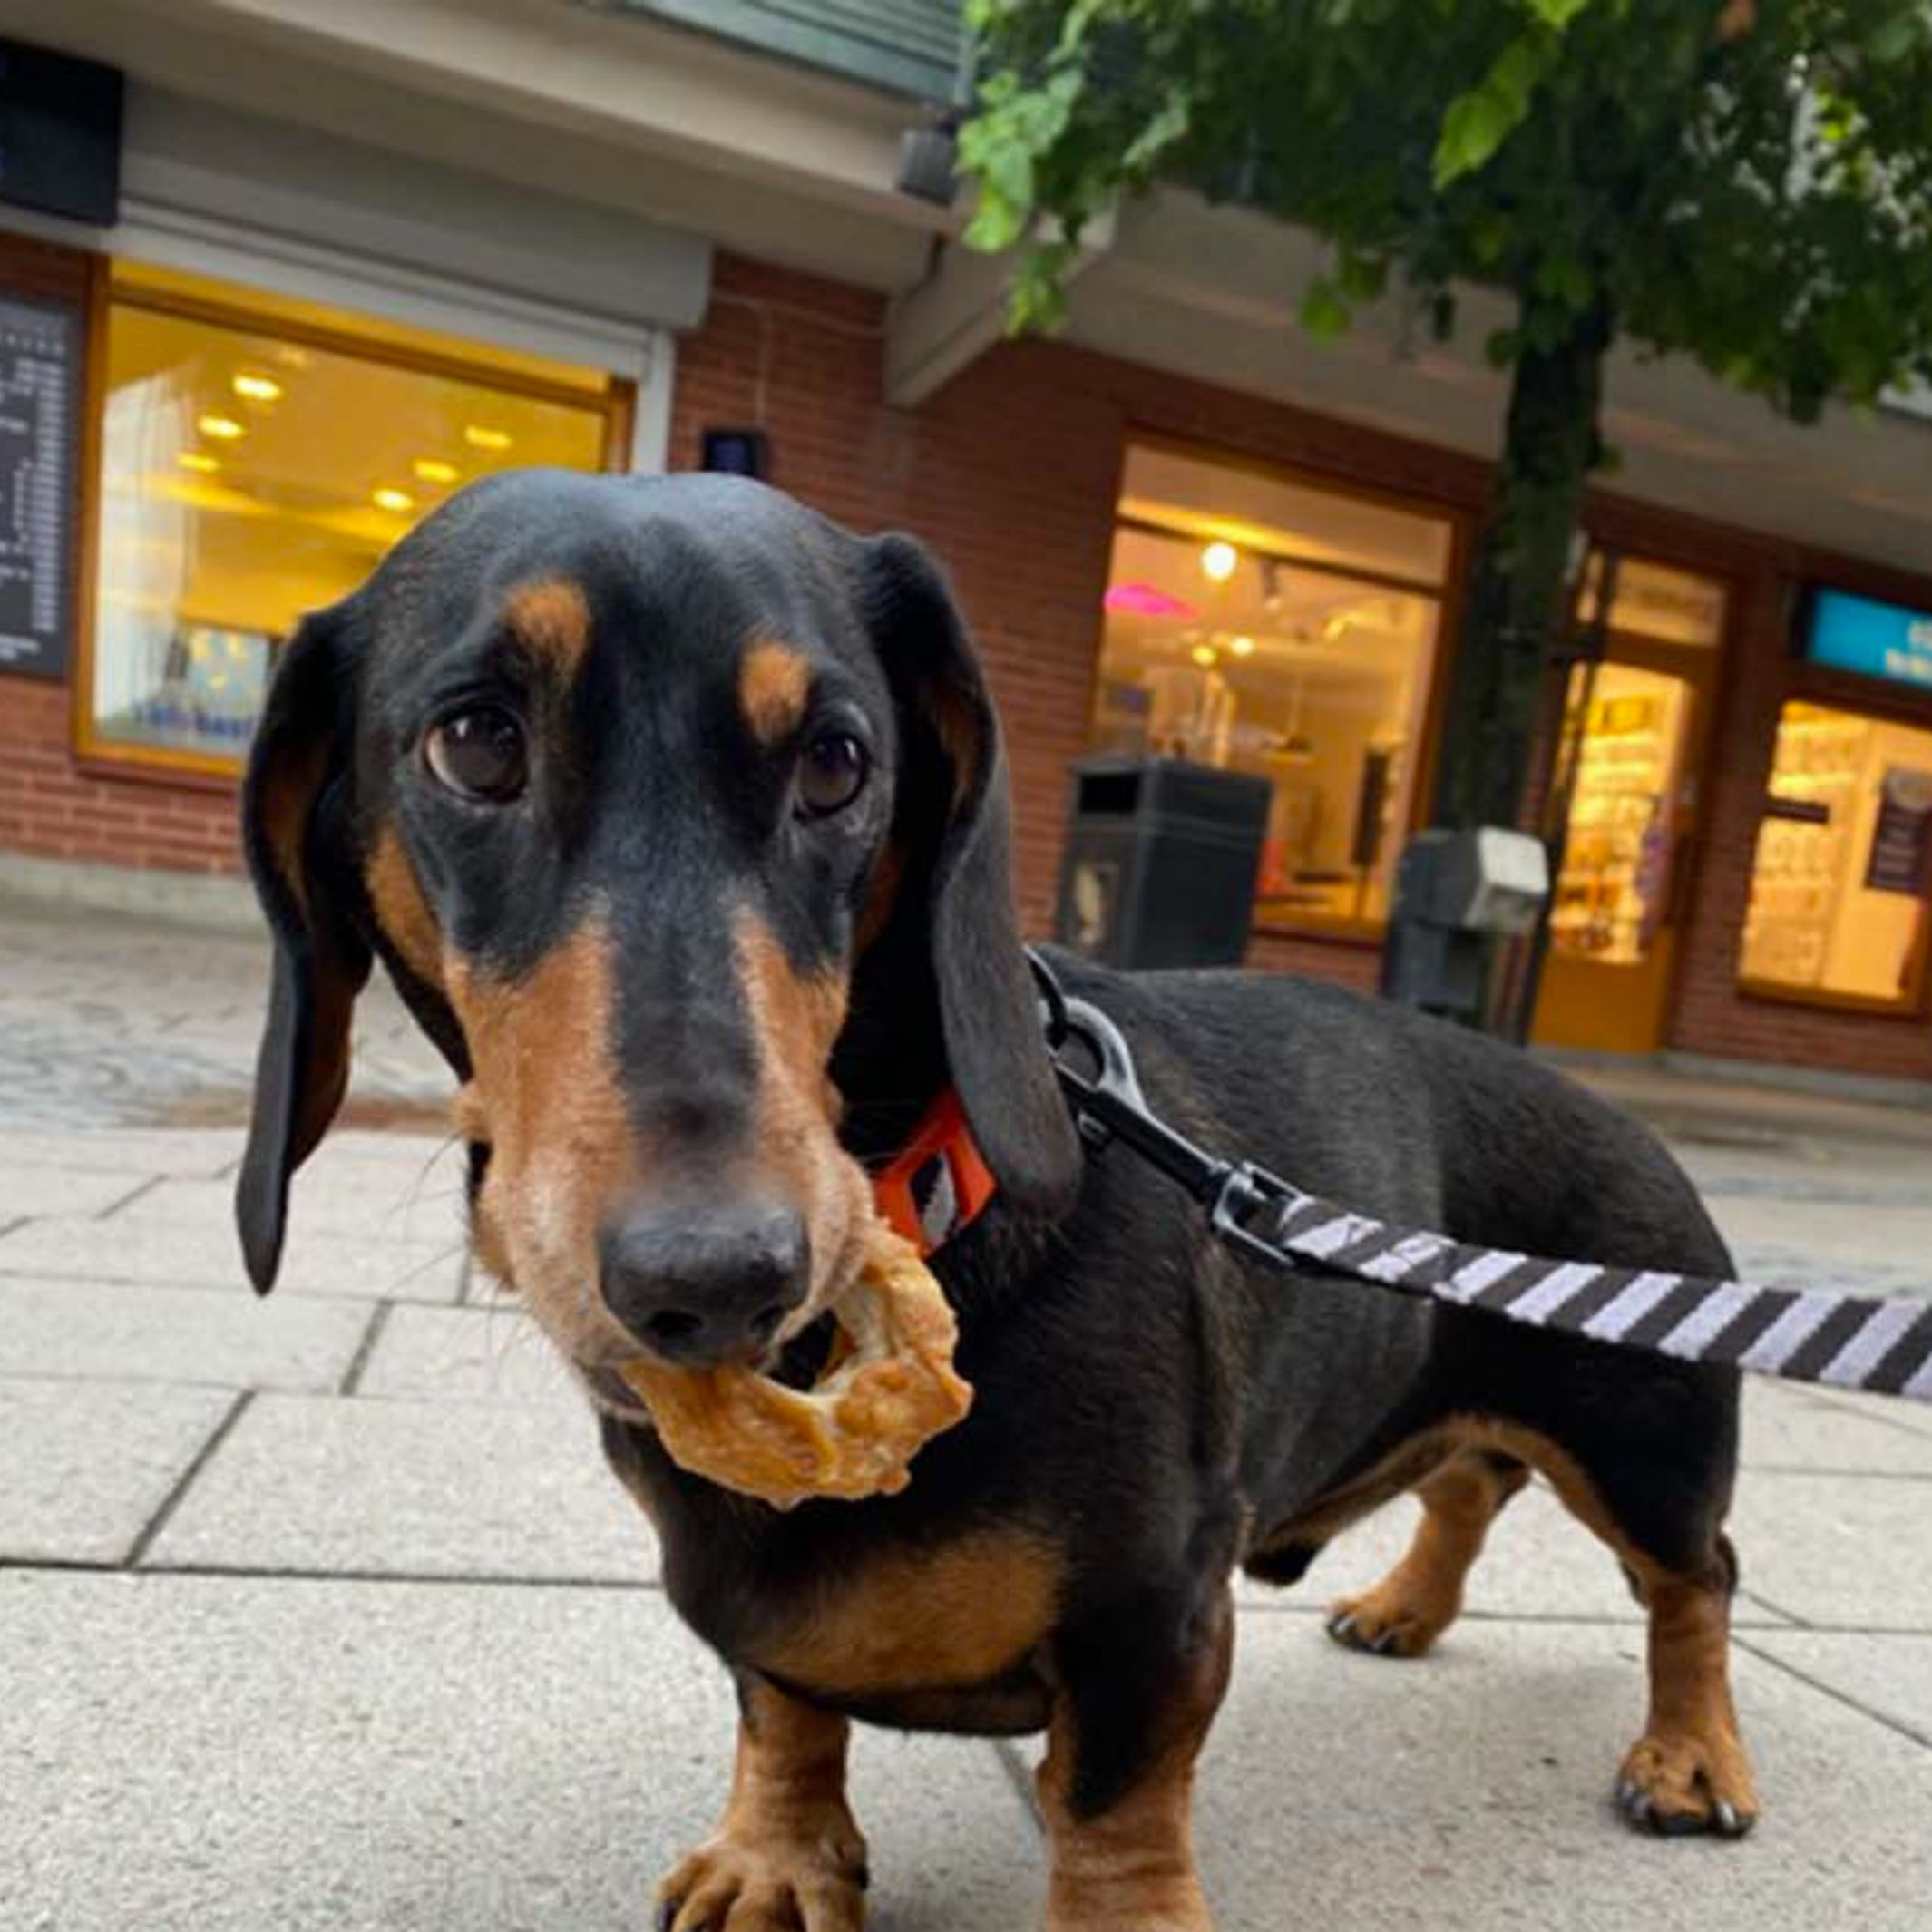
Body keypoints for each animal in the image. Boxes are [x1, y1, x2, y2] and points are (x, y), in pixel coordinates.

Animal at [235, 469, 1756, 1931]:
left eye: (837, 762)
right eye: (476, 740)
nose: (716, 1276)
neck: (935, 1182)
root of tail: (1620, 1115)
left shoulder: (1154, 1611)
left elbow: (1108, 1800)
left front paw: (1120, 1915)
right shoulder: (764, 1627)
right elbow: (781, 1711)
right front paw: (774, 1858)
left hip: (1642, 1439)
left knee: (1694, 1574)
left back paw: (1690, 1754)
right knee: (1468, 1483)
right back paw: (1402, 1608)